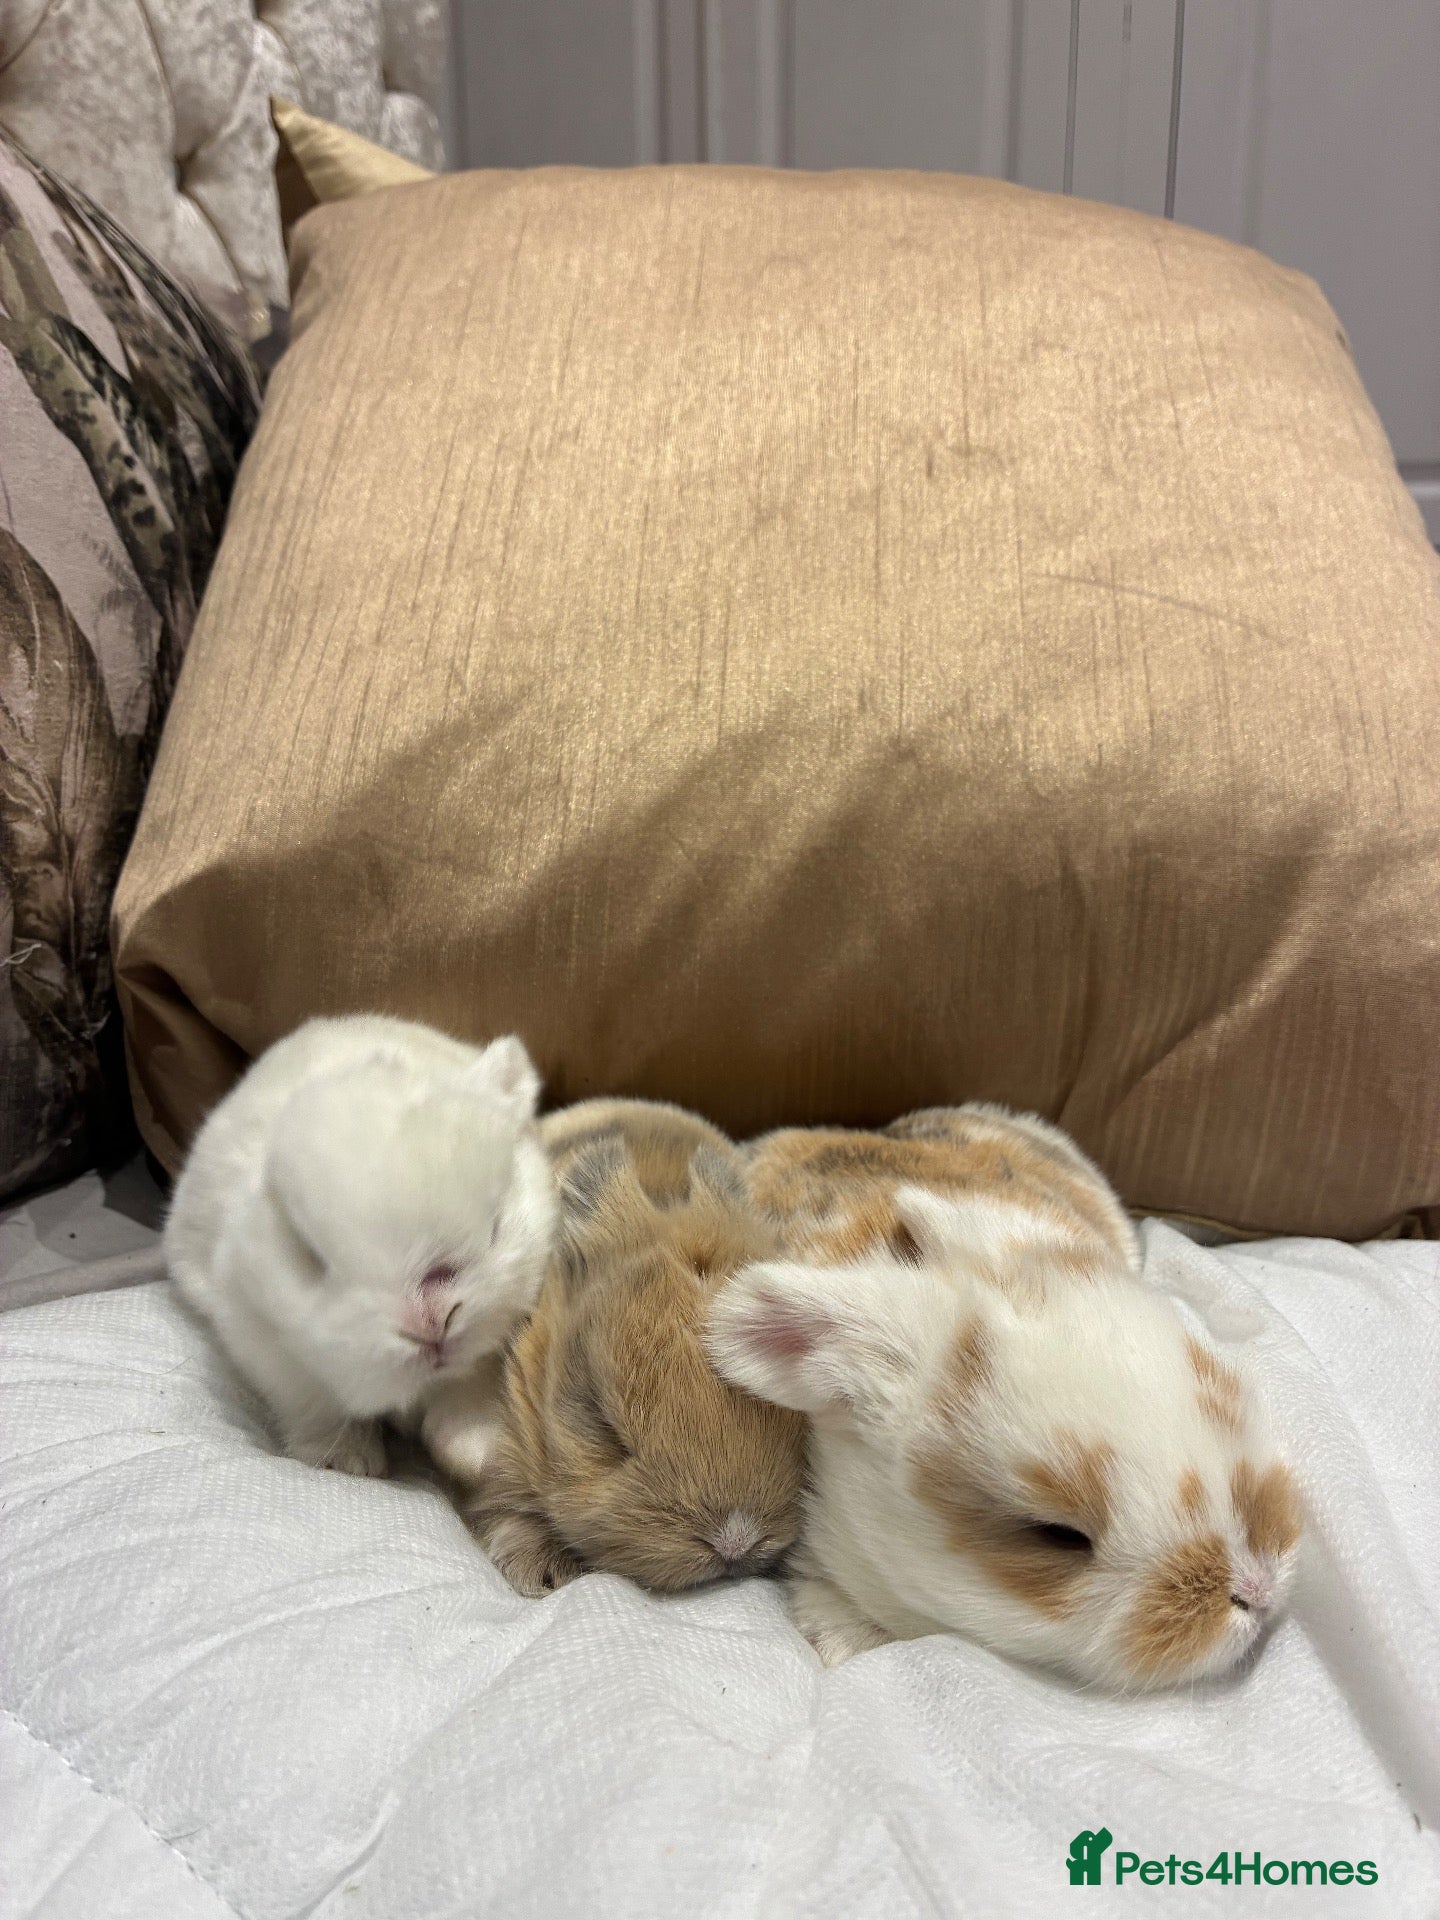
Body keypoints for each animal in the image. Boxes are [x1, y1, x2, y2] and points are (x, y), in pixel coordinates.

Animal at [165, 1015, 556, 1478]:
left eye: (495, 1225)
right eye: (314, 1258)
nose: (431, 1324)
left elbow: (471, 1383)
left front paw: (478, 1449)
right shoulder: (273, 1353)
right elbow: (318, 1405)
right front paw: (345, 1462)